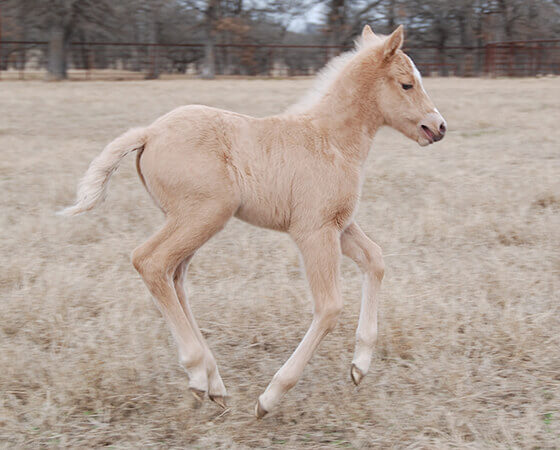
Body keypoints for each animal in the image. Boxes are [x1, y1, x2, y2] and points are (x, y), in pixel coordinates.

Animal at [61, 25, 446, 418]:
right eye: (406, 84)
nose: (438, 126)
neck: (330, 140)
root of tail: (149, 132)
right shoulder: (314, 231)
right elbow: (330, 306)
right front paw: (271, 397)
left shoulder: (340, 226)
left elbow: (376, 260)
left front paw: (359, 366)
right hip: (203, 215)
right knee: (150, 262)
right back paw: (198, 374)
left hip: (187, 220)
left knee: (174, 277)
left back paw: (214, 384)